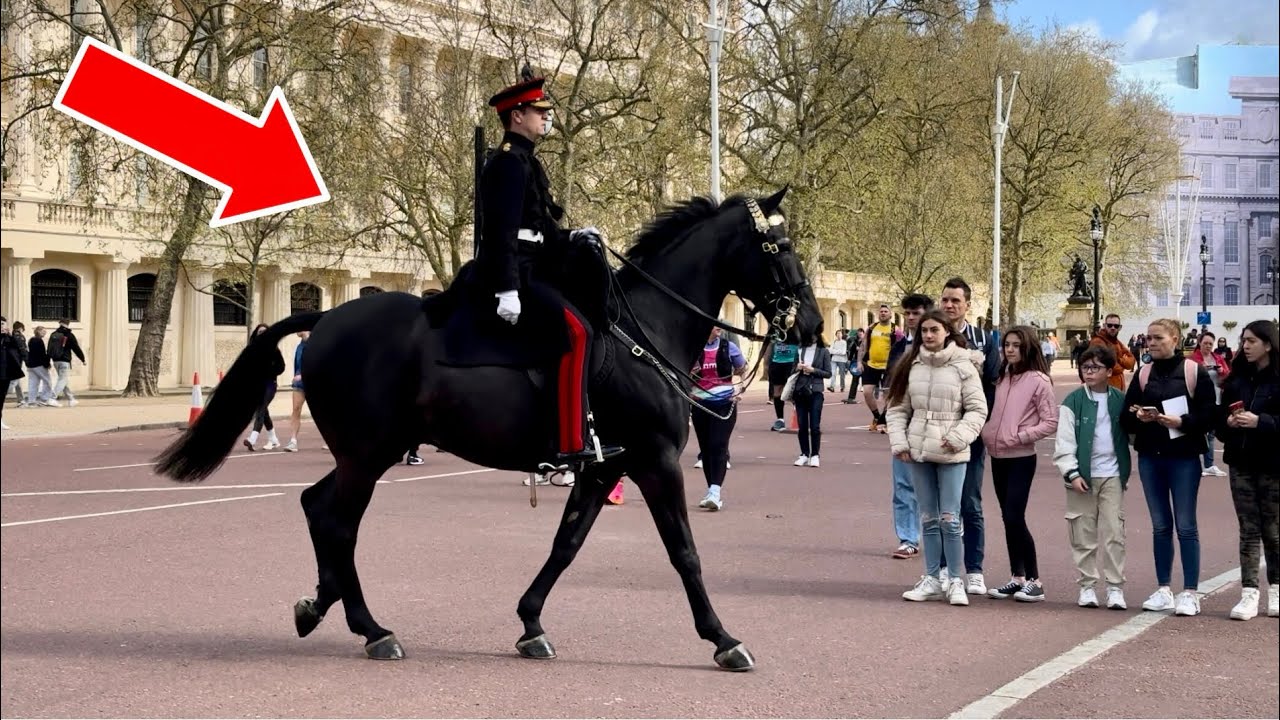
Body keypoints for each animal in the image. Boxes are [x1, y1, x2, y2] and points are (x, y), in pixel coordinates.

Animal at [154, 188, 821, 670]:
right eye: (779, 245)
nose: (812, 324)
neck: (646, 332)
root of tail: (326, 317)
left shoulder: (604, 465)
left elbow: (566, 544)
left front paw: (530, 622)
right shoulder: (653, 461)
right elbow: (684, 553)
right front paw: (723, 638)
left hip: (368, 452)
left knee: (319, 509)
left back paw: (320, 606)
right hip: (368, 455)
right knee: (338, 523)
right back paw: (372, 630)